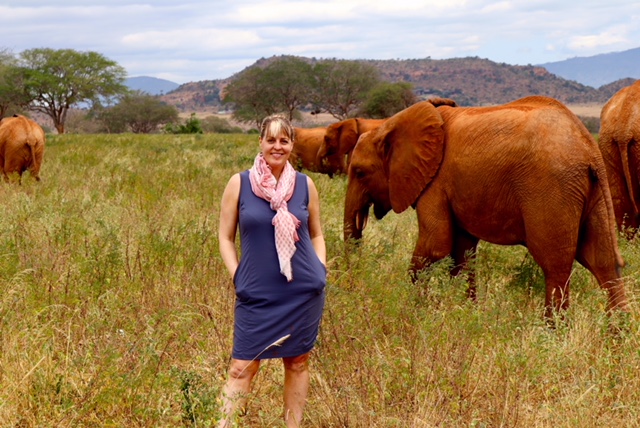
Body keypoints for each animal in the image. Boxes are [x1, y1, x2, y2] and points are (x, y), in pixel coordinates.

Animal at [344, 96, 627, 318]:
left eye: (359, 173)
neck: (390, 124)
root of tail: (589, 148)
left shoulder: (435, 184)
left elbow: (435, 247)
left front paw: (415, 311)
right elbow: (462, 254)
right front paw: (464, 313)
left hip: (552, 187)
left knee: (555, 264)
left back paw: (554, 333)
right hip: (593, 191)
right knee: (603, 262)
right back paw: (616, 336)